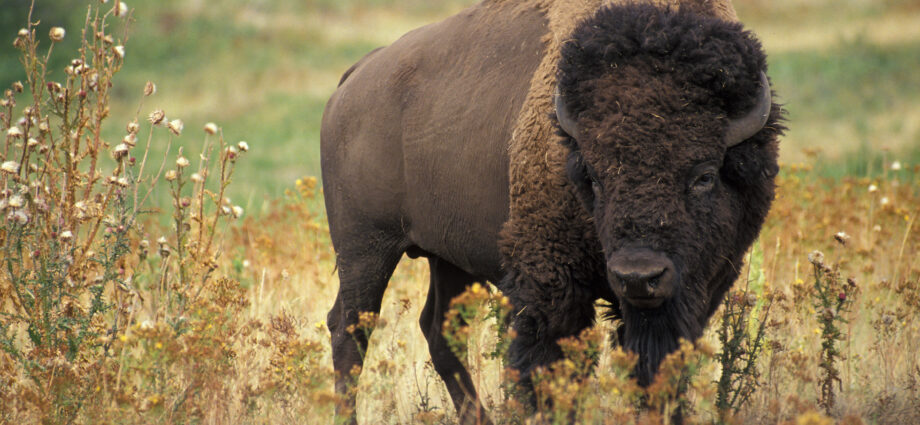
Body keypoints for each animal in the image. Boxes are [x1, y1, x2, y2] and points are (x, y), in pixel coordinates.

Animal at [320, 0, 783, 423]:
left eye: (704, 175)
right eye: (593, 177)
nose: (638, 276)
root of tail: (355, 77)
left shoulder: (697, 291)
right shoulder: (550, 285)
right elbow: (549, 369)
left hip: (448, 258)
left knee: (439, 330)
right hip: (366, 248)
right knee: (350, 329)